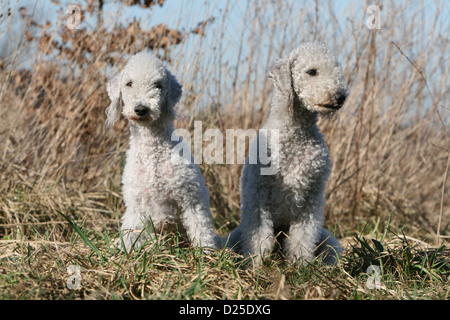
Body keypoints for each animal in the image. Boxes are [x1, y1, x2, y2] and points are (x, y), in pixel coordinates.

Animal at [105, 50, 218, 250]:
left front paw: (206, 253)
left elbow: (201, 229)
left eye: (158, 85)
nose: (141, 109)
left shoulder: (192, 199)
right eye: (129, 83)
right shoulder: (136, 205)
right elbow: (132, 232)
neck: (153, 156)